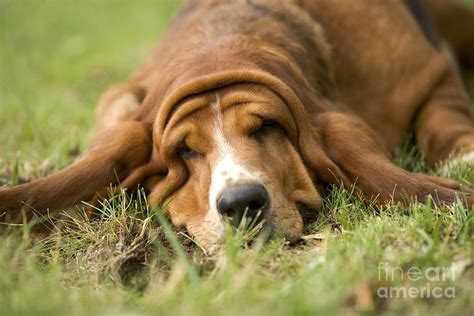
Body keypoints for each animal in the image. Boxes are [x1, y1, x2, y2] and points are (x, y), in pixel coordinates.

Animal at [0, 0, 474, 252]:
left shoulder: (432, 72)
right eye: (186, 150)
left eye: (266, 126)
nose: (241, 203)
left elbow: (444, 117)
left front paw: (463, 159)